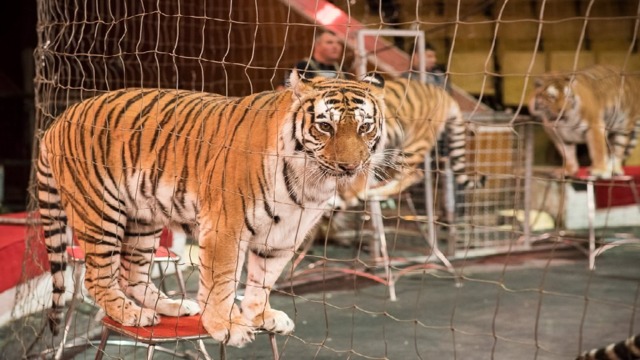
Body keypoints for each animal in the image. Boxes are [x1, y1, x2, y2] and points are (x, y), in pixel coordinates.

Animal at [37, 71, 388, 348]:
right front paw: (227, 326)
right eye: (325, 127)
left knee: (131, 273)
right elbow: (222, 280)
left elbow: (263, 279)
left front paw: (261, 315)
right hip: (101, 213)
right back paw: (131, 313)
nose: (350, 166)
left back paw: (171, 307)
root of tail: (57, 121)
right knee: (96, 277)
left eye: (365, 128)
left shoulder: (285, 234)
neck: (310, 181)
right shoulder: (226, 226)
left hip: (142, 218)